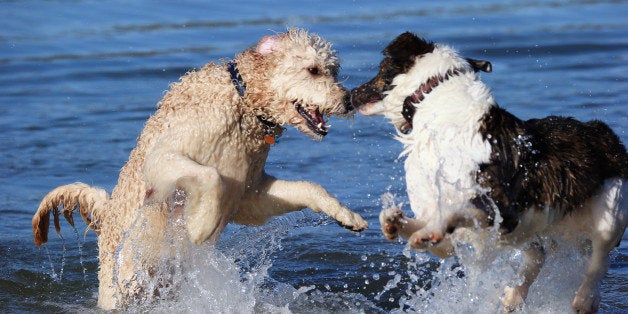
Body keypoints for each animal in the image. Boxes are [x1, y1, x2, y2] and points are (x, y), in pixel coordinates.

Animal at [31, 28, 368, 310]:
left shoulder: (253, 196)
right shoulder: (163, 158)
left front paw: (346, 215)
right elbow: (211, 176)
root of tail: (108, 213)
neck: (242, 103)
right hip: (122, 283)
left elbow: (310, 187)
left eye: (334, 70)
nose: (349, 100)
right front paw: (200, 226)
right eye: (313, 69)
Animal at [350, 33, 624, 312]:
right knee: (537, 254)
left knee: (599, 257)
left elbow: (457, 209)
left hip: (611, 210)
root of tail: (601, 130)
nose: (351, 94)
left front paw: (428, 229)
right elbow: (436, 237)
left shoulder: (500, 203)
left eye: (380, 68)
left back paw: (585, 298)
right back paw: (514, 294)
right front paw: (394, 221)